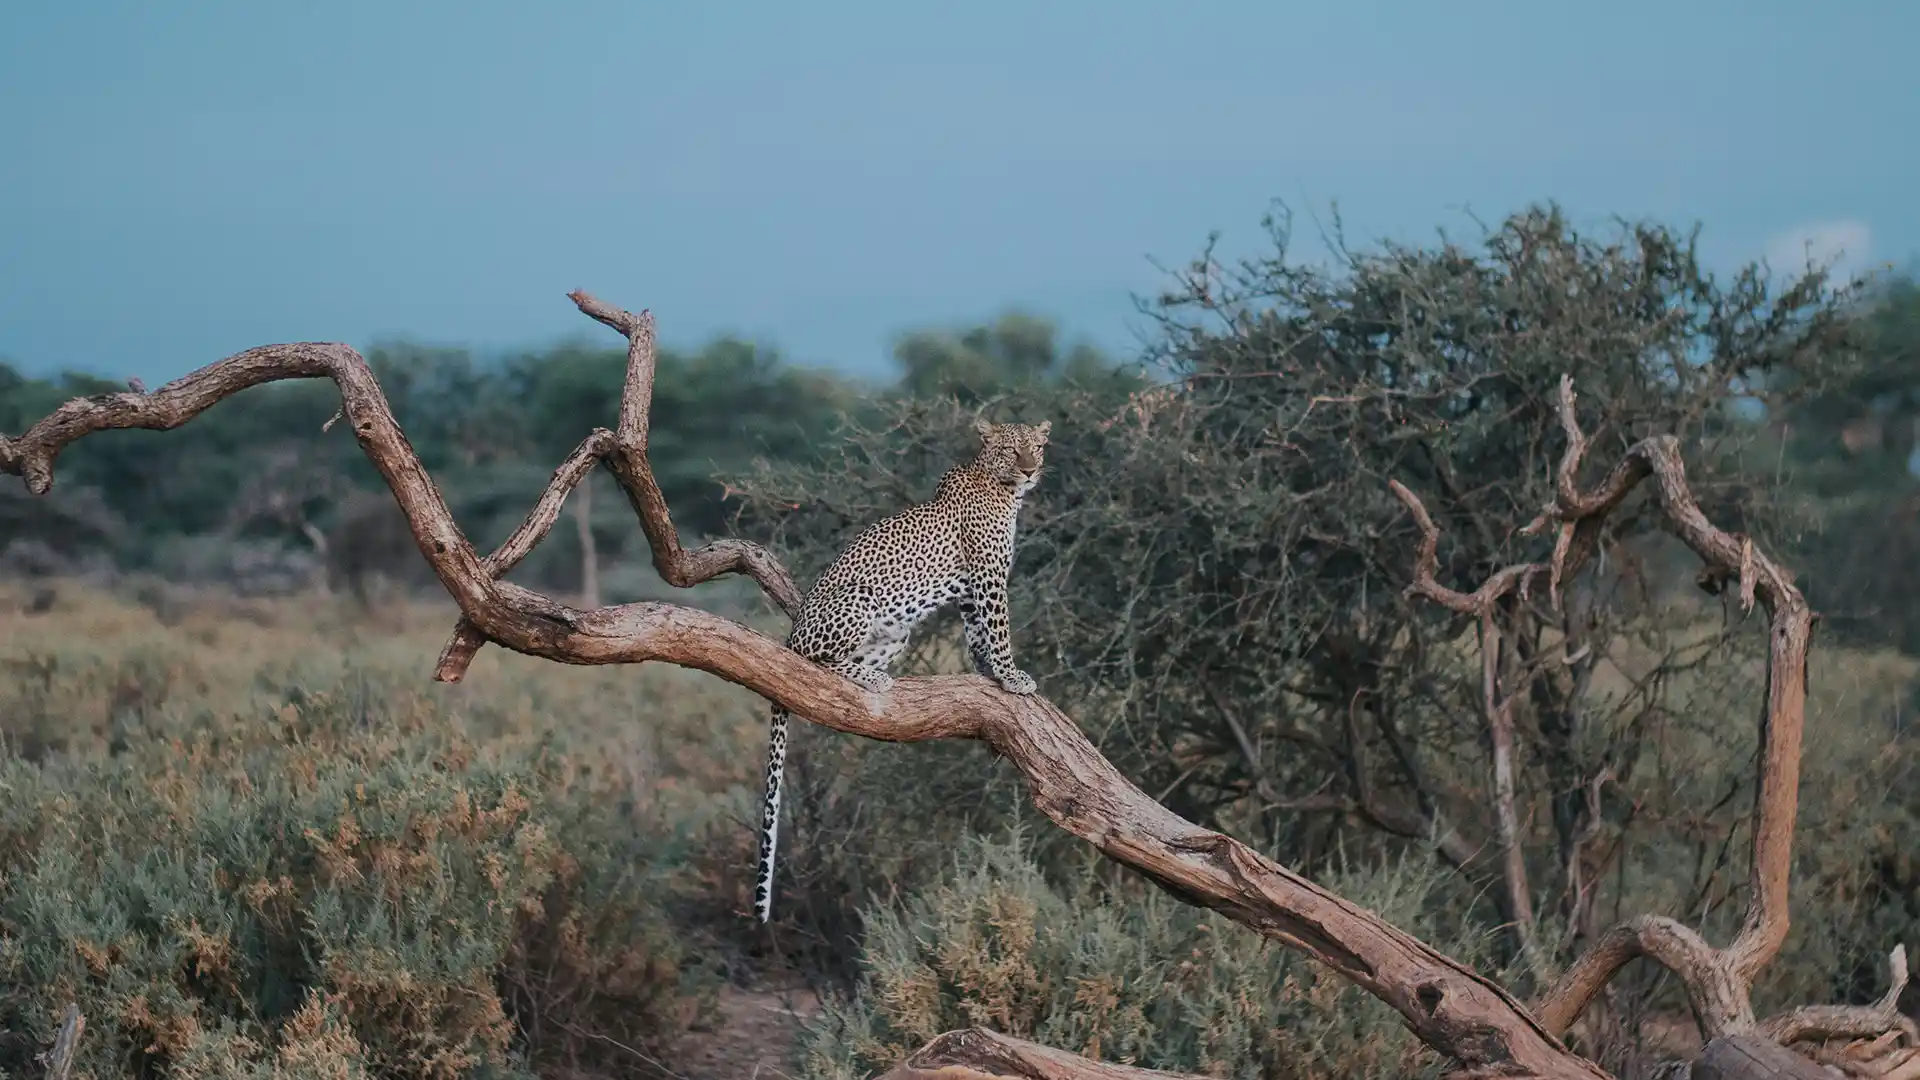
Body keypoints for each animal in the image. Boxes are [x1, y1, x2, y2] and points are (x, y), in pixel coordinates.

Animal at [748, 417, 1052, 922]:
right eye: (1012, 450)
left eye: (1037, 448)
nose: (1030, 470)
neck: (1003, 489)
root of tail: (790, 634)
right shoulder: (988, 578)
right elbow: (999, 630)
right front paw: (1012, 676)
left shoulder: (970, 591)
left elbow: (978, 635)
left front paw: (989, 672)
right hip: (860, 600)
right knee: (816, 662)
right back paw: (871, 678)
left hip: (896, 634)